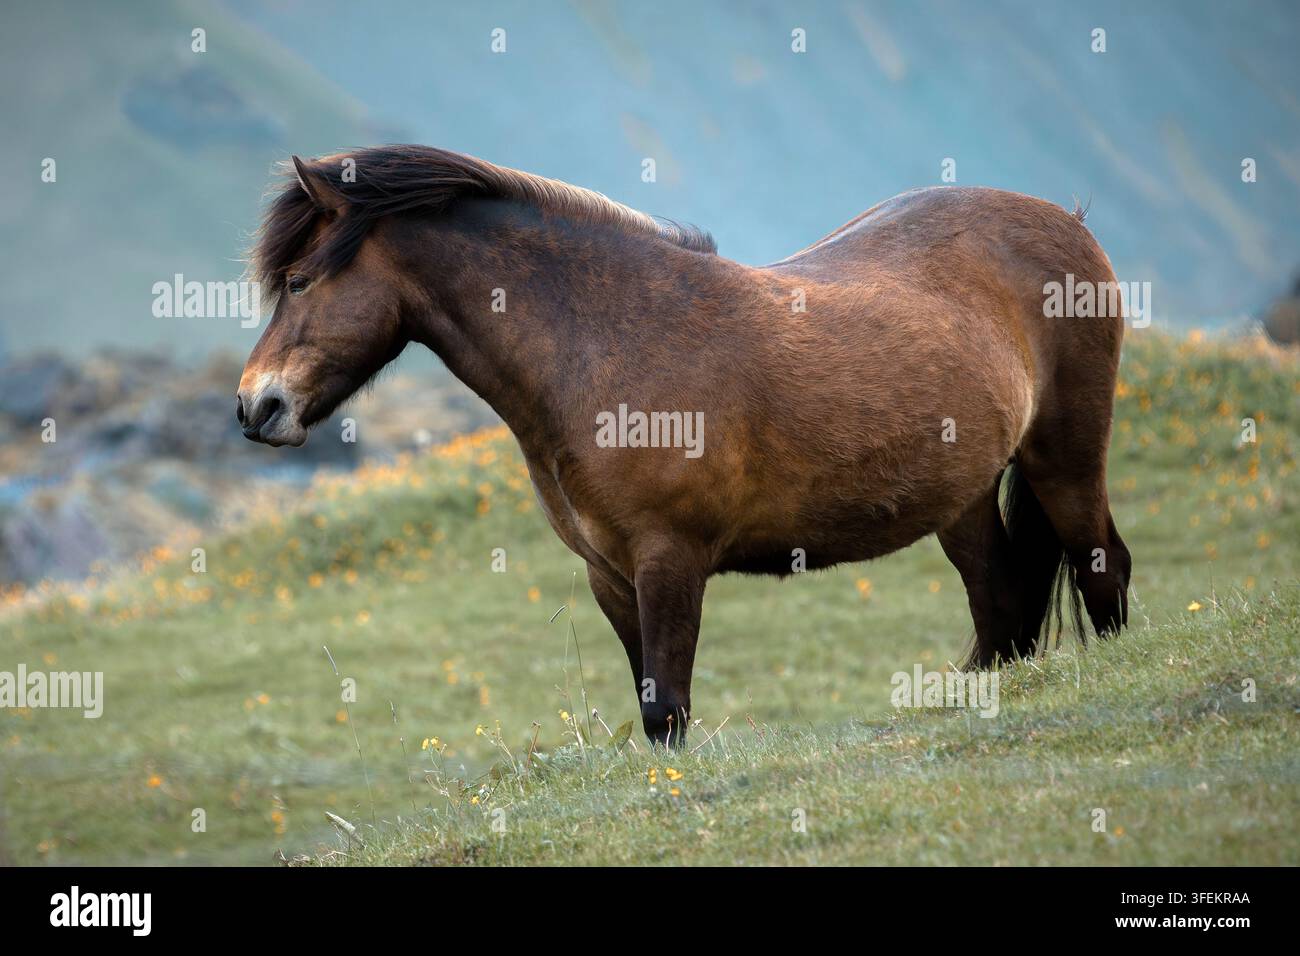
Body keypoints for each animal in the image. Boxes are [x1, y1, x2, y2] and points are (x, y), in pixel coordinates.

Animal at [238, 145, 1132, 746]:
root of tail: (1067, 222)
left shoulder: (670, 560)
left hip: (1064, 458)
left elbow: (667, 709)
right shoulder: (609, 574)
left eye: (301, 280)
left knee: (1103, 569)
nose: (256, 406)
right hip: (964, 495)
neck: (605, 341)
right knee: (1002, 606)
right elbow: (650, 704)